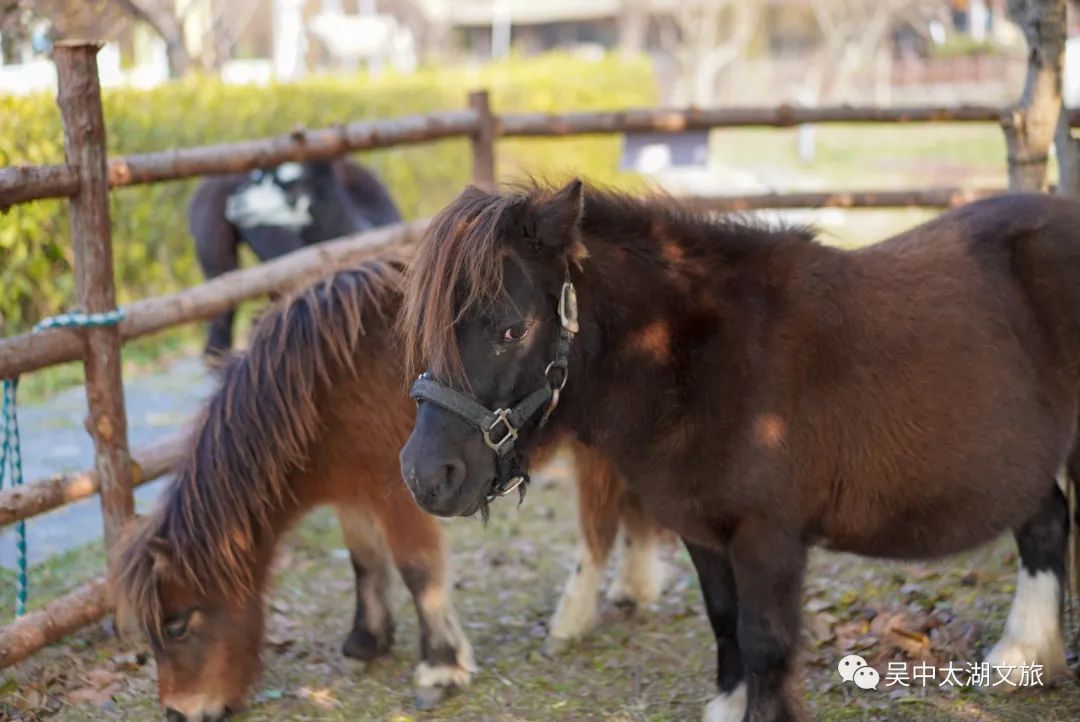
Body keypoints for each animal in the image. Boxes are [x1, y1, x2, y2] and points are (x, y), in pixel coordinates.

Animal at [109, 255, 665, 716]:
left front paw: (441, 666)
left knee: (600, 524)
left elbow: (417, 570)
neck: (324, 387)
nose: (179, 712)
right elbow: (364, 561)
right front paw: (367, 640)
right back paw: (632, 589)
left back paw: (571, 621)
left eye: (177, 625)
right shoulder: (352, 493)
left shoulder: (401, 493)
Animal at [397, 180, 1080, 720]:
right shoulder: (702, 530)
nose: (427, 476)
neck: (698, 360)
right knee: (1044, 522)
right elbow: (724, 620)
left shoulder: (767, 536)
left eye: (511, 329)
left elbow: (764, 642)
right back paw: (1022, 657)